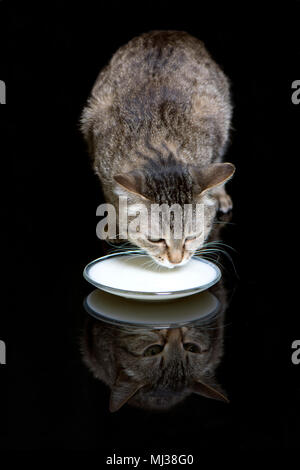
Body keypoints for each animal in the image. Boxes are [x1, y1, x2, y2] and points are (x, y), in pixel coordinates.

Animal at [81, 30, 236, 268]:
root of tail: (169, 32)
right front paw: (114, 222)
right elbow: (111, 198)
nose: (176, 260)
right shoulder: (102, 164)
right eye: (155, 239)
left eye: (191, 236)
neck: (160, 149)